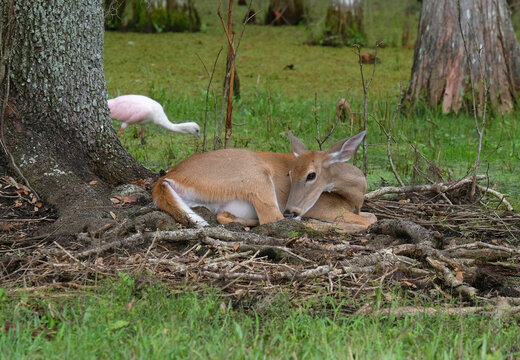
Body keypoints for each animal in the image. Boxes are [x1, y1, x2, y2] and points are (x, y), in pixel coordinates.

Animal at [152, 131, 376, 231]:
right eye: (289, 174)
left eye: (311, 175)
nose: (292, 210)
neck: (353, 200)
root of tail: (166, 177)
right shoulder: (324, 207)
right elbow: (369, 220)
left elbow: (371, 216)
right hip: (257, 176)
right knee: (272, 218)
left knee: (225, 216)